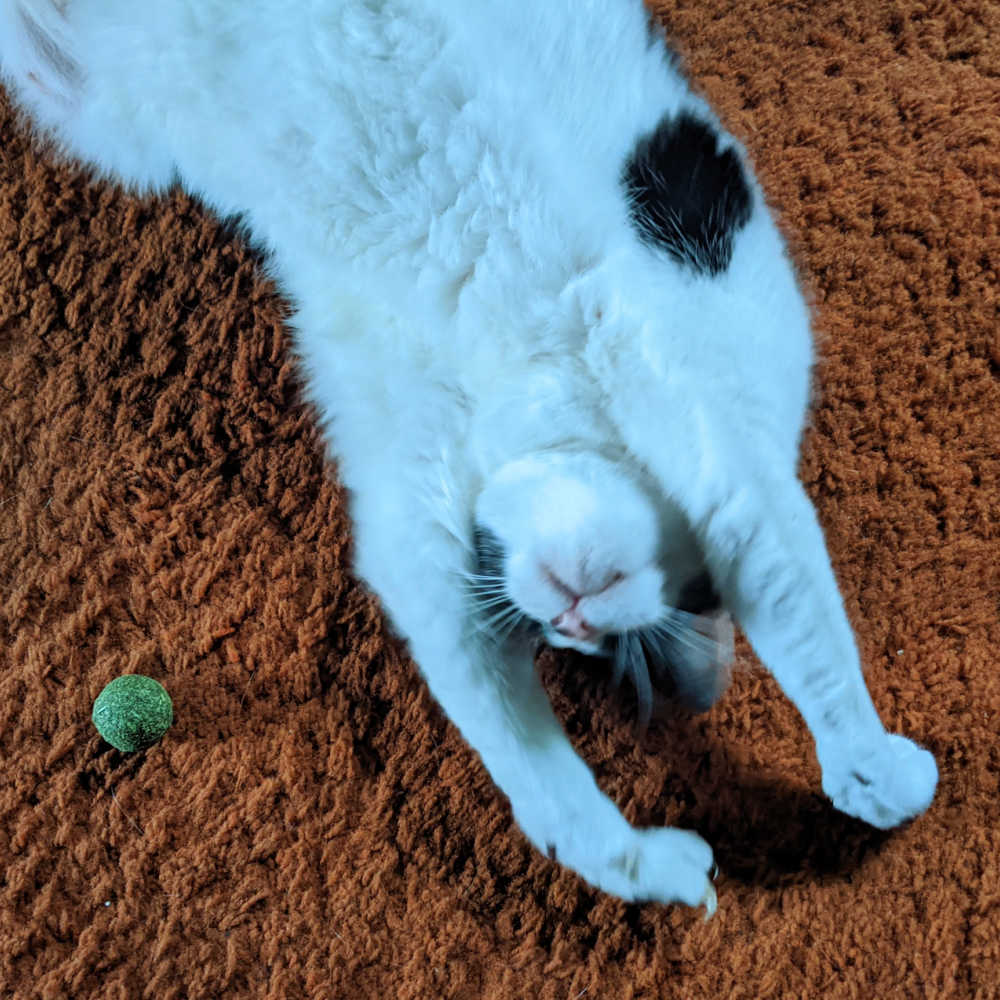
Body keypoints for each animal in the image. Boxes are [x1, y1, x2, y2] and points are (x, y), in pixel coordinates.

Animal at [0, 0, 936, 912]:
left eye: (590, 648)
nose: (571, 623)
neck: (520, 380)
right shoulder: (719, 437)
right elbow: (808, 621)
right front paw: (877, 772)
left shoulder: (419, 518)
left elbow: (532, 770)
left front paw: (636, 864)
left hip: (98, 110)